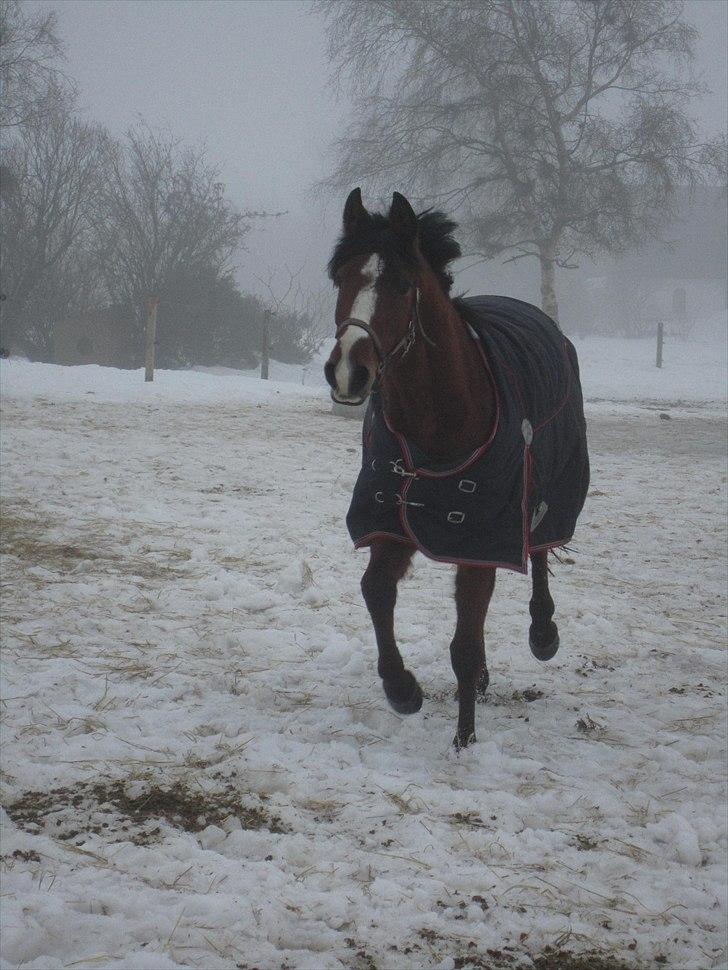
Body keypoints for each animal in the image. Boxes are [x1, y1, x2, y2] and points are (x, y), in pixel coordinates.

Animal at [328, 189, 588, 748]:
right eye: (341, 278)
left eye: (402, 285)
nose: (348, 372)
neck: (441, 420)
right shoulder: (393, 520)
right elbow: (376, 590)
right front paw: (403, 690)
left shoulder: (483, 536)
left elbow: (463, 644)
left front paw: (464, 741)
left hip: (544, 493)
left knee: (539, 552)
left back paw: (543, 633)